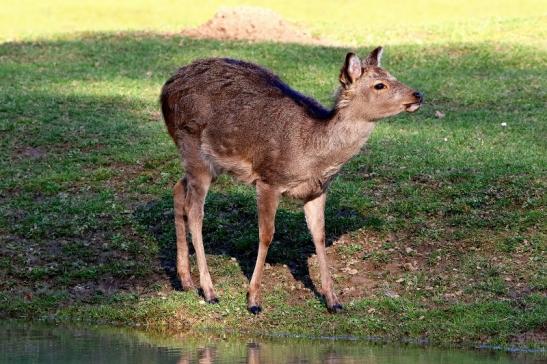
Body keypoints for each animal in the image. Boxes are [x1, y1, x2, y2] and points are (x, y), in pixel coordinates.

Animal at [159, 47, 424, 314]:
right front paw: (253, 300)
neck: (313, 155)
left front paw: (333, 300)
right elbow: (266, 235)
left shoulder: (317, 191)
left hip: (205, 164)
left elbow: (319, 235)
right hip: (194, 148)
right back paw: (209, 290)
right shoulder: (269, 179)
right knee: (195, 212)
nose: (418, 94)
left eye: (392, 75)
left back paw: (185, 280)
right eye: (379, 85)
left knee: (178, 189)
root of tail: (165, 90)